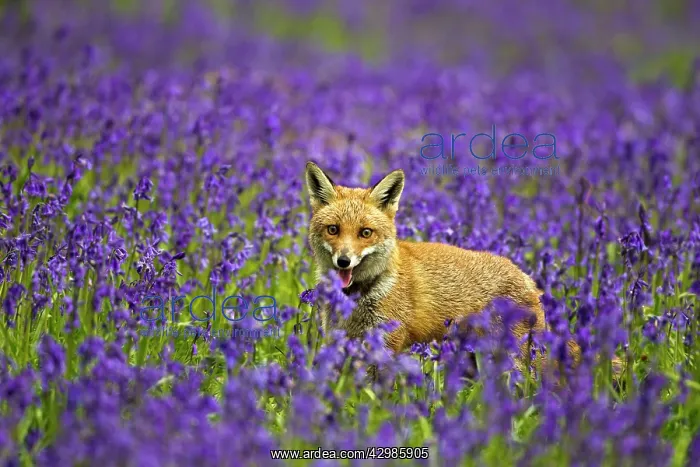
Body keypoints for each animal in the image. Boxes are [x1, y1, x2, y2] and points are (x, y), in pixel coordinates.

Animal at [304, 161, 616, 378]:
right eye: (333, 230)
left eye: (365, 233)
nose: (343, 261)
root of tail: (529, 280)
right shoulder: (341, 340)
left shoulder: (386, 344)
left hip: (516, 361)